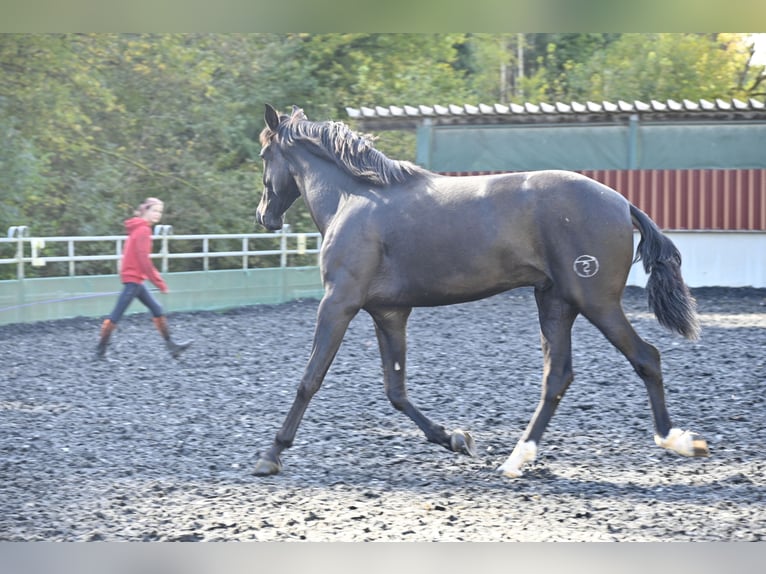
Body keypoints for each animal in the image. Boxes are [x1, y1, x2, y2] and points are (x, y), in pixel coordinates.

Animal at [255, 104, 712, 482]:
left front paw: (271, 455)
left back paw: (677, 441)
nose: (263, 217)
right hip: (555, 303)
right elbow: (396, 391)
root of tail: (621, 202)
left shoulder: (339, 303)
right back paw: (516, 460)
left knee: (645, 357)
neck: (353, 199)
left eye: (263, 156)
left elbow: (310, 379)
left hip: (596, 302)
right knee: (558, 376)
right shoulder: (389, 313)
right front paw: (456, 439)